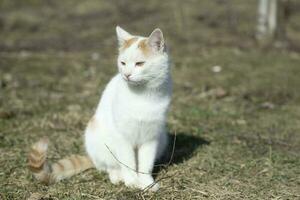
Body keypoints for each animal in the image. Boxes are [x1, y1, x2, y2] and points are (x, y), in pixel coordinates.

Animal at [29, 25, 173, 191]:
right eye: (123, 63)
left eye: (139, 63)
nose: (127, 75)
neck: (143, 96)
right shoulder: (122, 137)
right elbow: (128, 162)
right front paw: (131, 181)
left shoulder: (151, 137)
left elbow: (145, 165)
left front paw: (147, 183)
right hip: (97, 138)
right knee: (109, 166)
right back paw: (118, 176)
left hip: (162, 139)